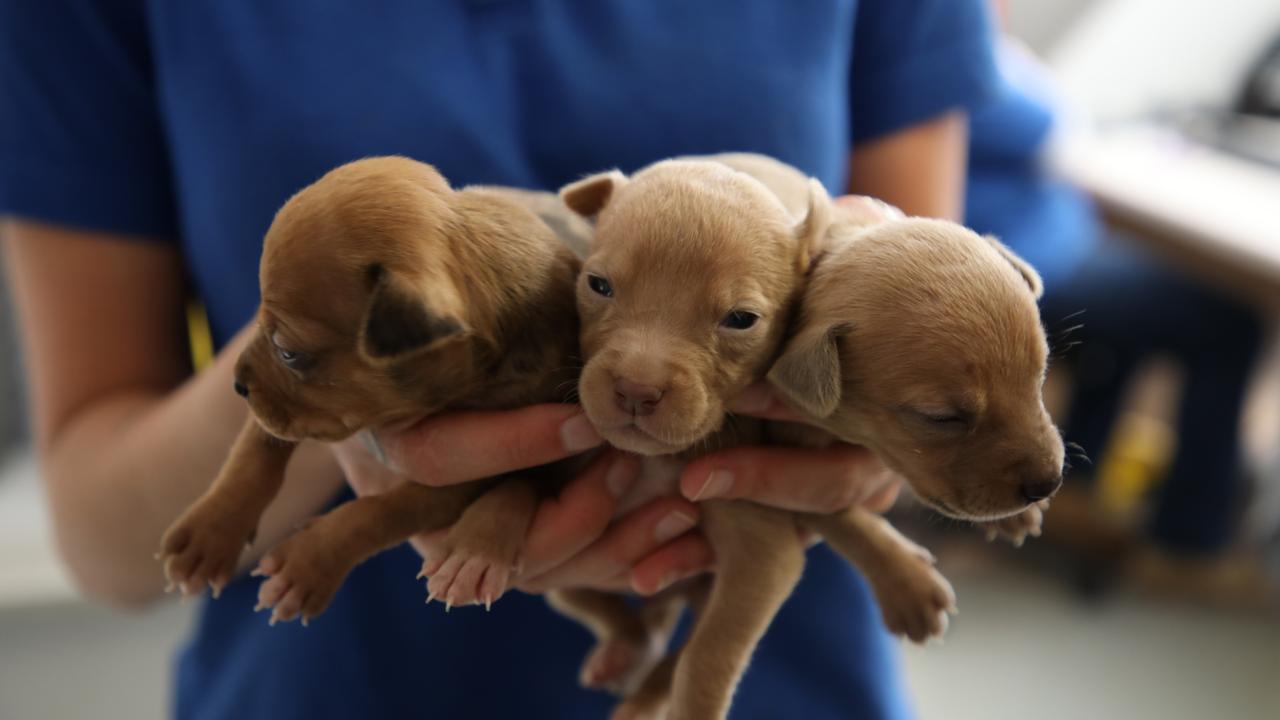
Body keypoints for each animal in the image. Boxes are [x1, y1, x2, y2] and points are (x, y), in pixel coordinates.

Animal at [157, 156, 583, 622]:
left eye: (289, 353)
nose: (237, 383)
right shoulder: (288, 411)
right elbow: (255, 451)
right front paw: (210, 533)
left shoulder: (465, 474)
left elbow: (381, 510)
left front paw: (309, 560)